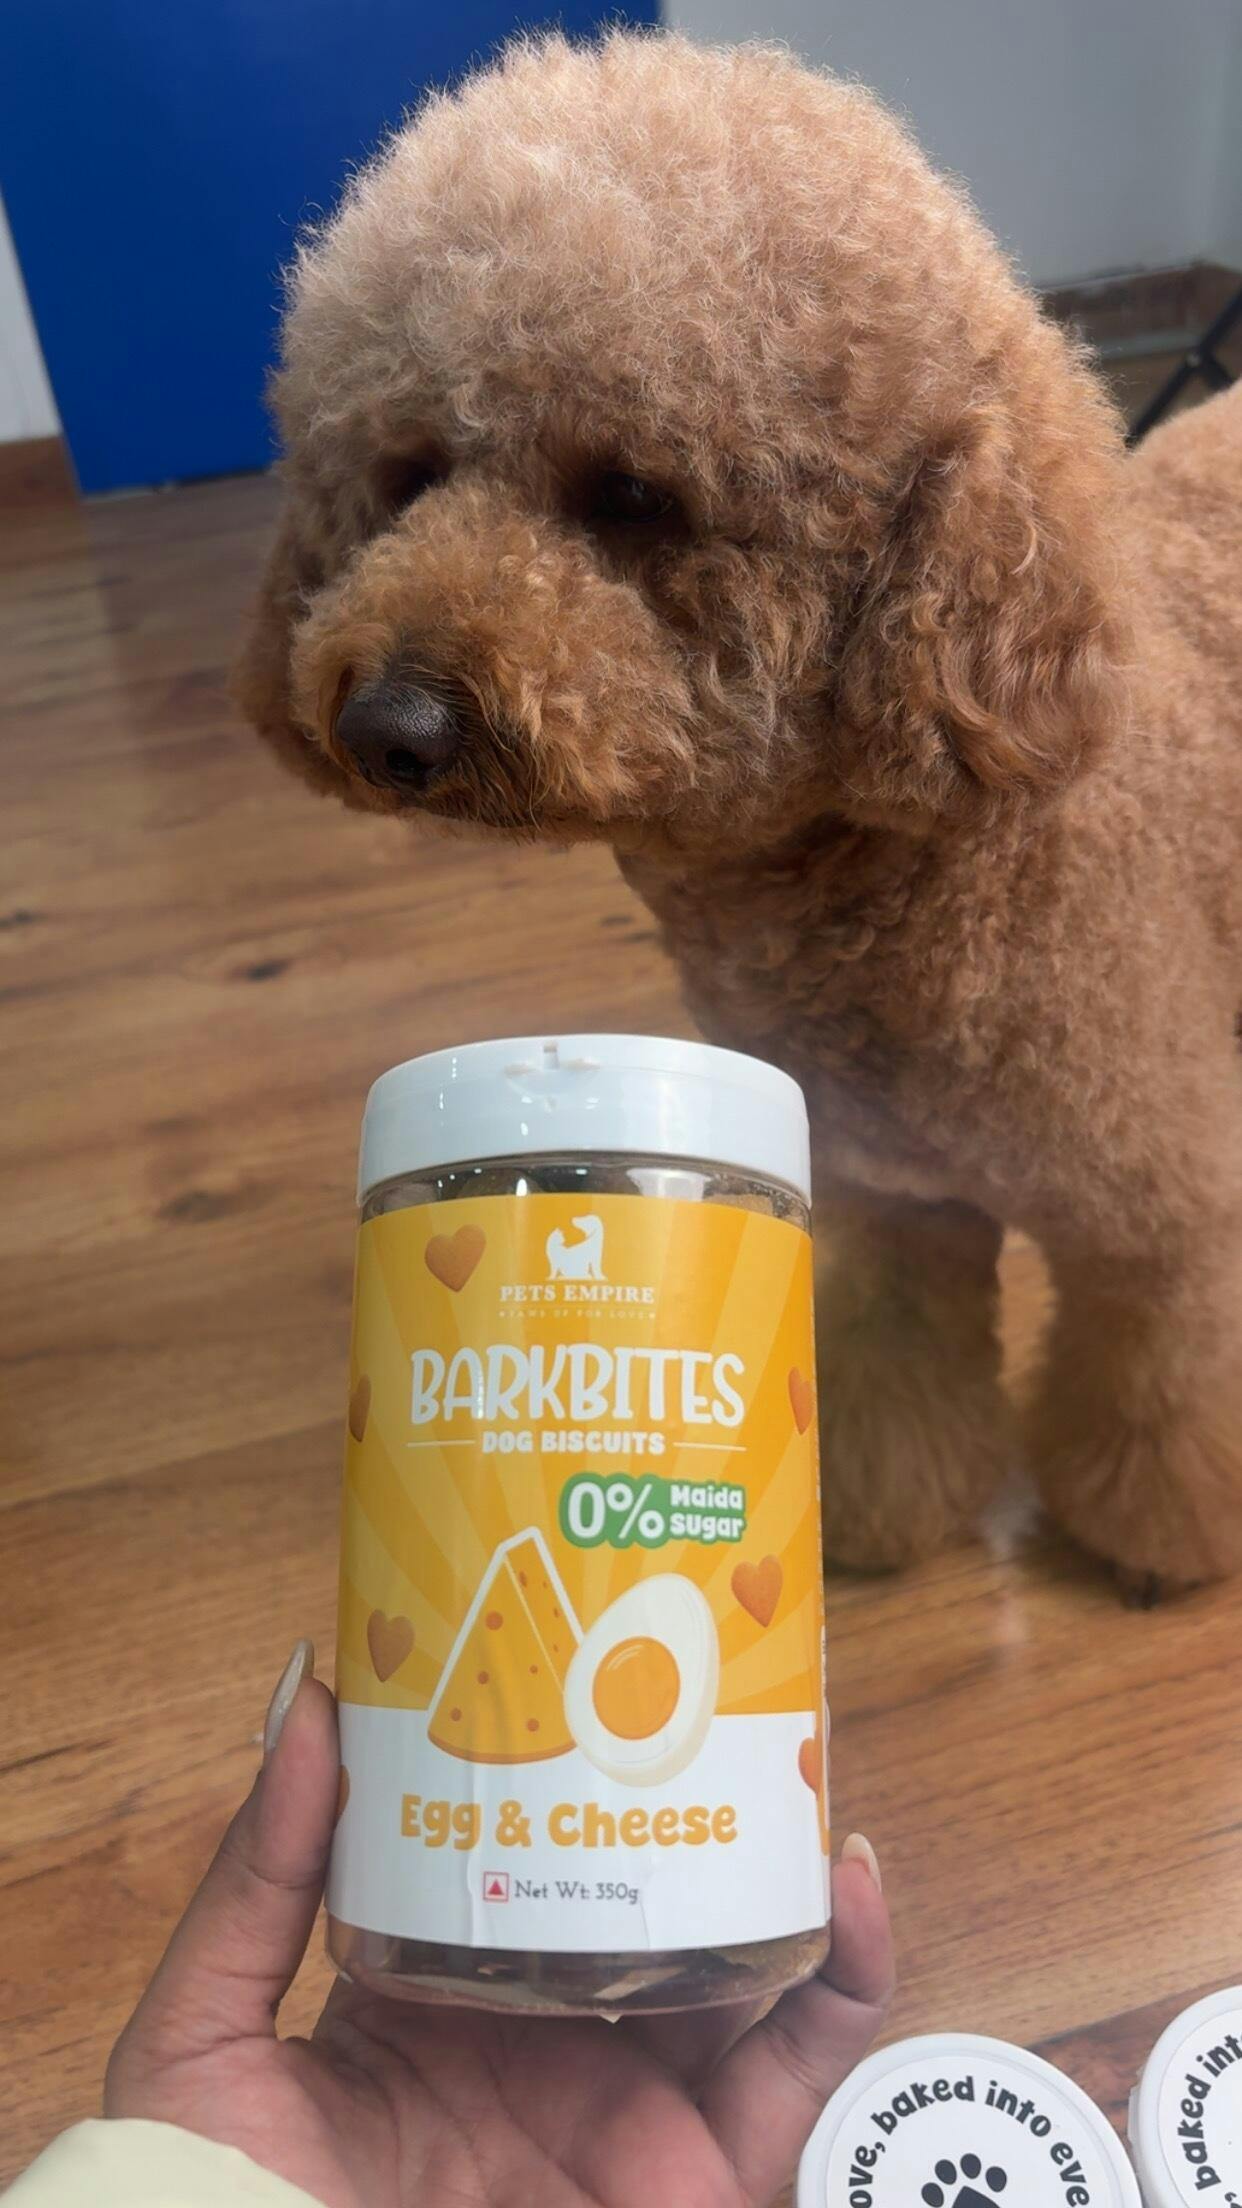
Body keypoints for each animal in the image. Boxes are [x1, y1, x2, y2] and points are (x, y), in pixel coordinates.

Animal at [237, 33, 1242, 1589]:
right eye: (406, 474)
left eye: (634, 495)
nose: (382, 724)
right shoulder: (892, 1202)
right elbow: (894, 1363)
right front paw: (874, 1511)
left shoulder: (1164, 1220)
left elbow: (1161, 1397)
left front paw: (1152, 1545)